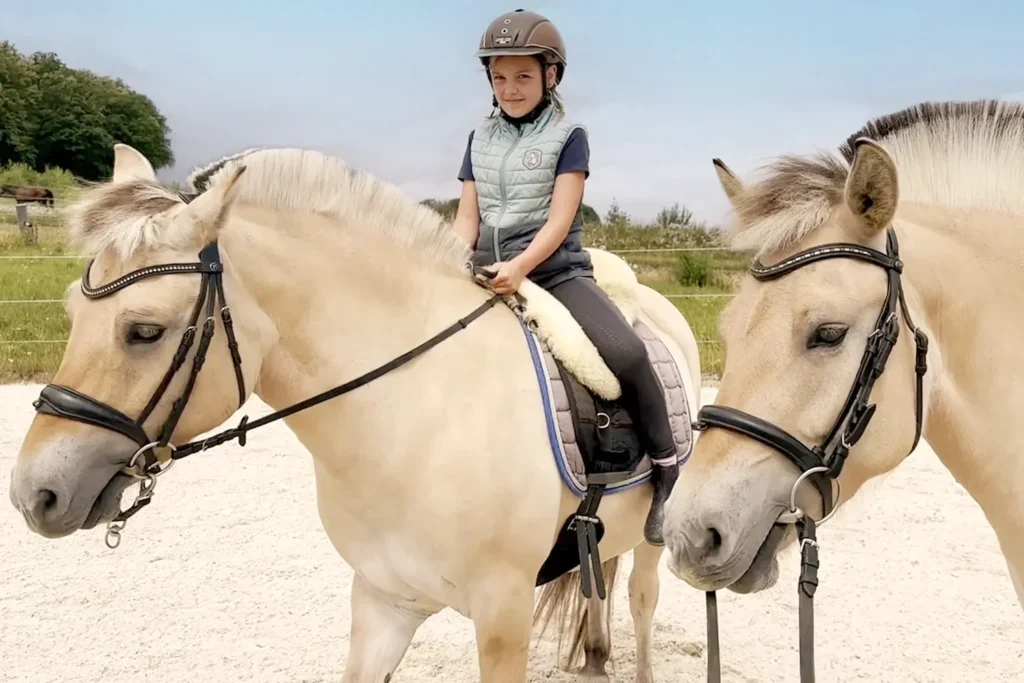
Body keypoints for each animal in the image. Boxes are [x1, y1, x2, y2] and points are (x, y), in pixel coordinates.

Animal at [8, 144, 704, 683]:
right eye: (72, 311)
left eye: (145, 331)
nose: (34, 493)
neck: (414, 418)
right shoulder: (382, 602)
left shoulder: (501, 617)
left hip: (650, 533)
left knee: (640, 597)